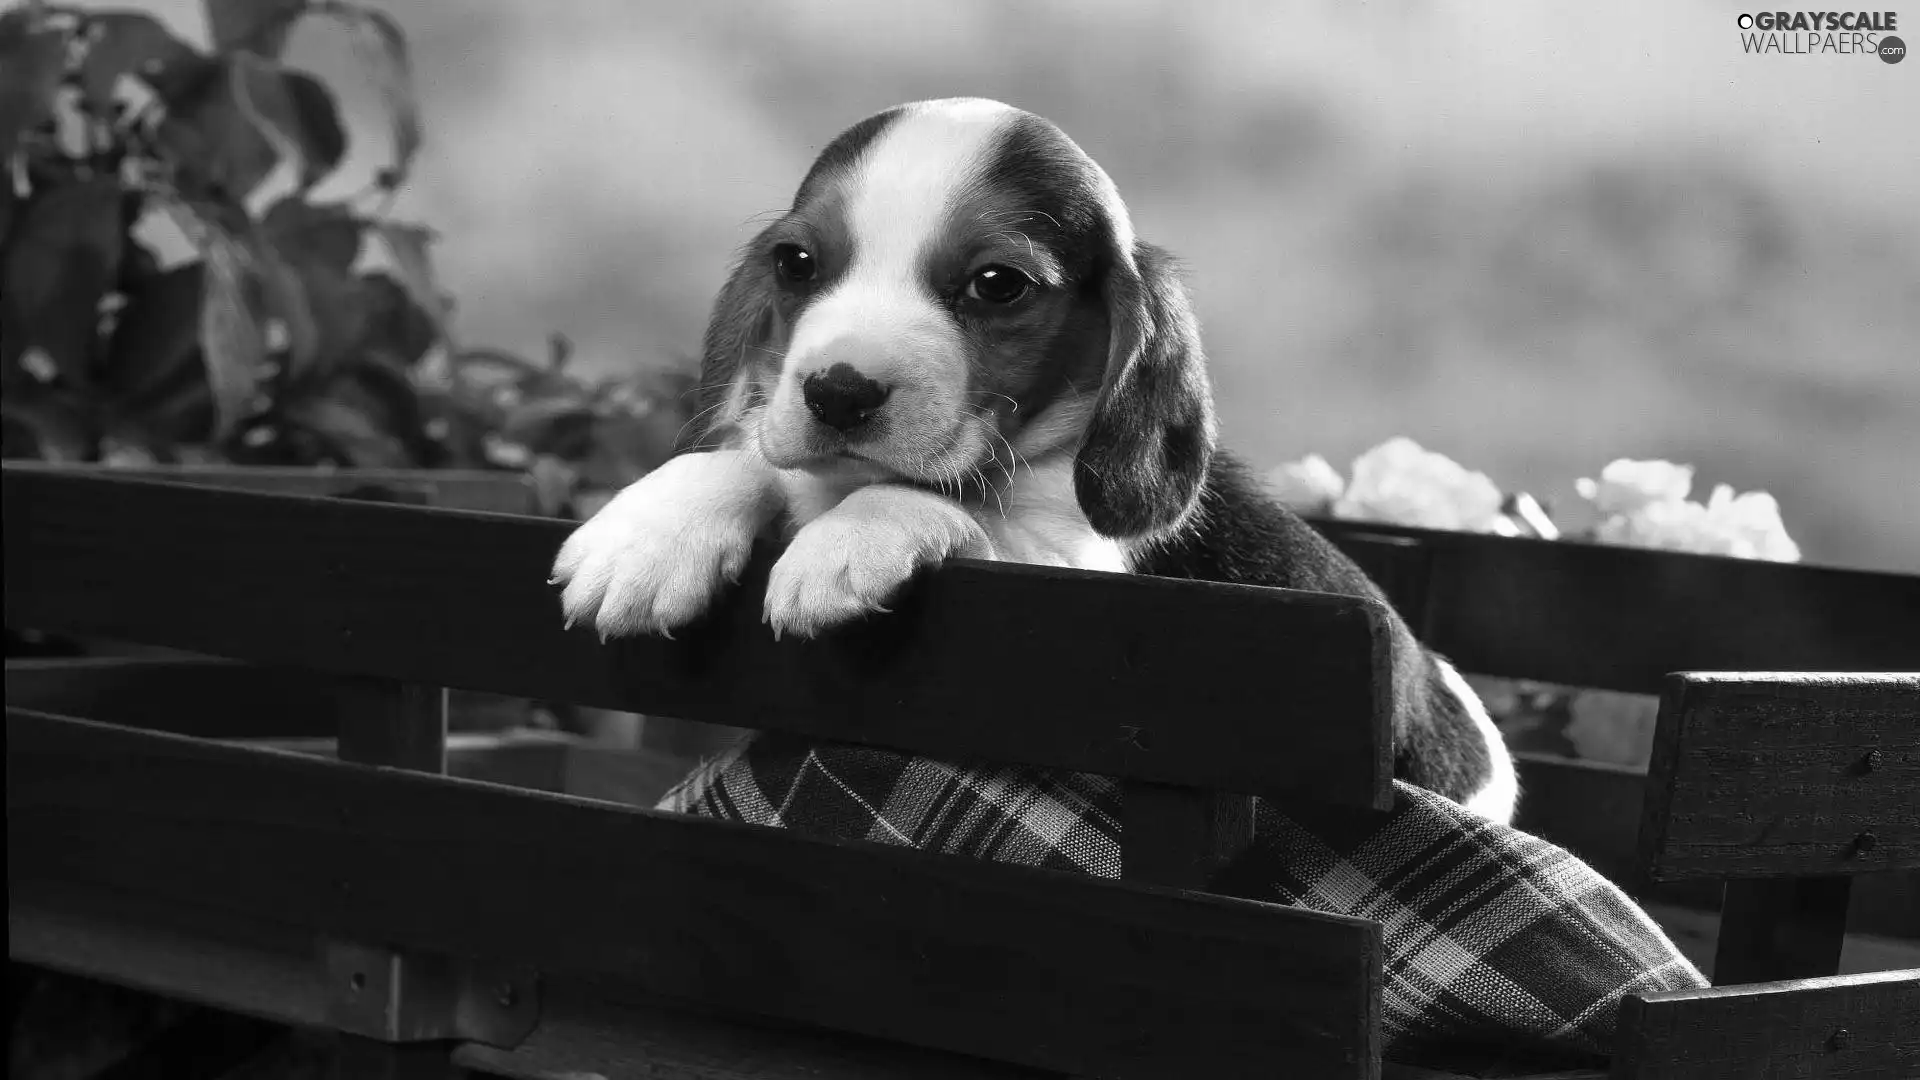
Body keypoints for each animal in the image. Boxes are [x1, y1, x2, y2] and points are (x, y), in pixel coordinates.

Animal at [545, 102, 1512, 822]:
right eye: (795, 262)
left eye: (997, 285)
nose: (838, 392)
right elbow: (751, 461)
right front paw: (649, 537)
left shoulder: (1067, 573)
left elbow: (957, 507)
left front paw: (845, 544)